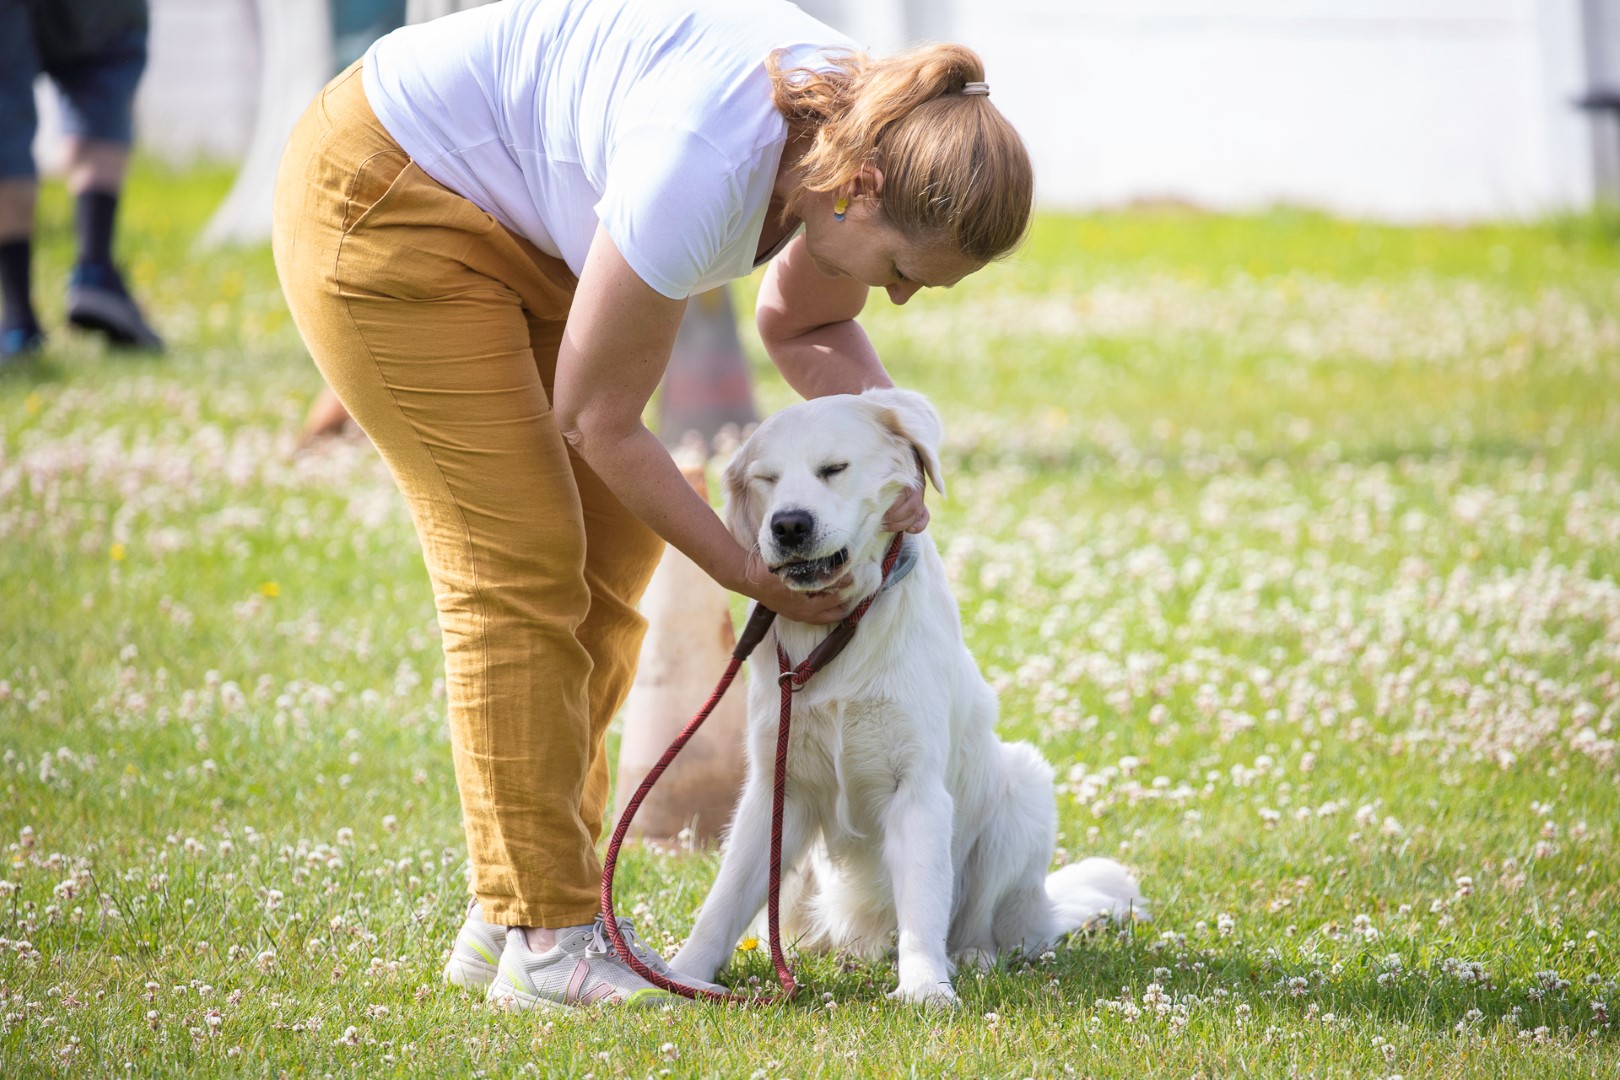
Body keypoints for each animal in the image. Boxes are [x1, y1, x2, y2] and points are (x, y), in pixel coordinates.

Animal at [664, 388, 1146, 1003]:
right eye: (767, 478)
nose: (789, 524)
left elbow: (921, 903)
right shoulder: (777, 789)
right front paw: (681, 976)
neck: (841, 631)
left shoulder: (916, 788)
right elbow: (722, 902)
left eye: (833, 468)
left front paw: (924, 987)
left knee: (985, 926)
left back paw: (973, 956)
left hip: (1024, 793)